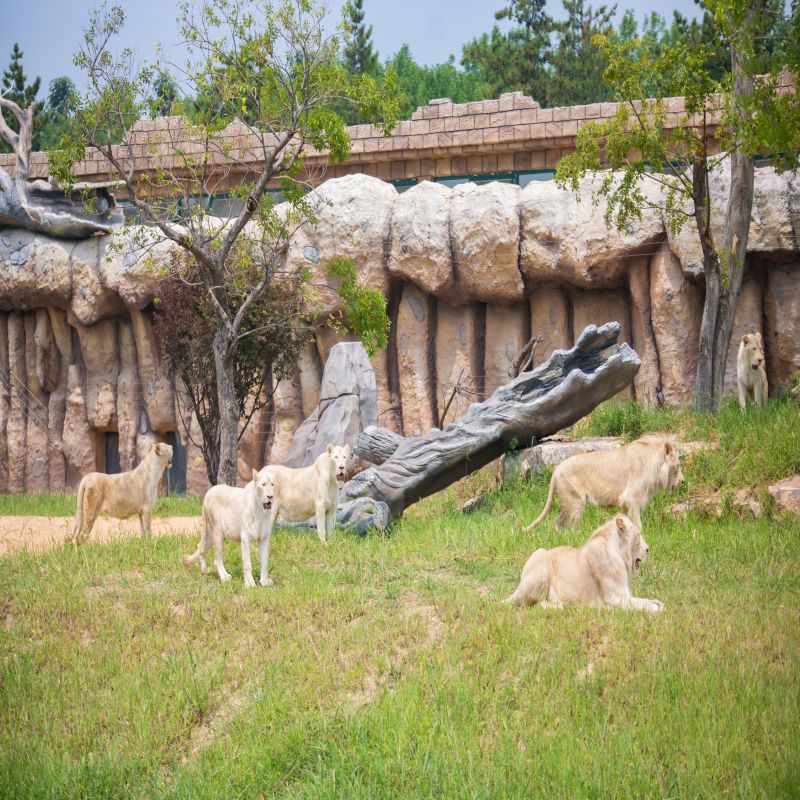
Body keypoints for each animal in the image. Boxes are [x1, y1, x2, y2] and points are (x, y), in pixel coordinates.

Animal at [506, 512, 664, 612]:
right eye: (638, 534)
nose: (648, 549)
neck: (620, 554)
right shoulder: (615, 597)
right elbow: (644, 605)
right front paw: (655, 608)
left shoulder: (625, 595)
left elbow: (646, 600)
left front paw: (658, 602)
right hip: (541, 555)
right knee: (533, 604)